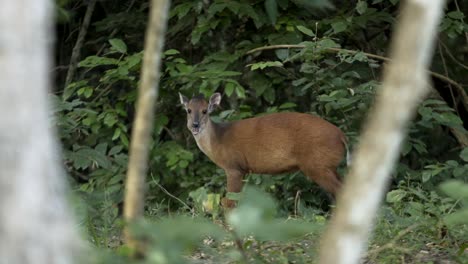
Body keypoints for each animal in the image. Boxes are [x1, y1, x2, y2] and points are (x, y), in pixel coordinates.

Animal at [181, 93, 350, 208]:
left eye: (205, 111)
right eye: (188, 110)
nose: (195, 125)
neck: (218, 140)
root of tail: (342, 136)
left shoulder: (233, 166)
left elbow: (229, 201)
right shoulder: (244, 170)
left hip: (317, 164)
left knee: (340, 190)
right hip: (329, 166)